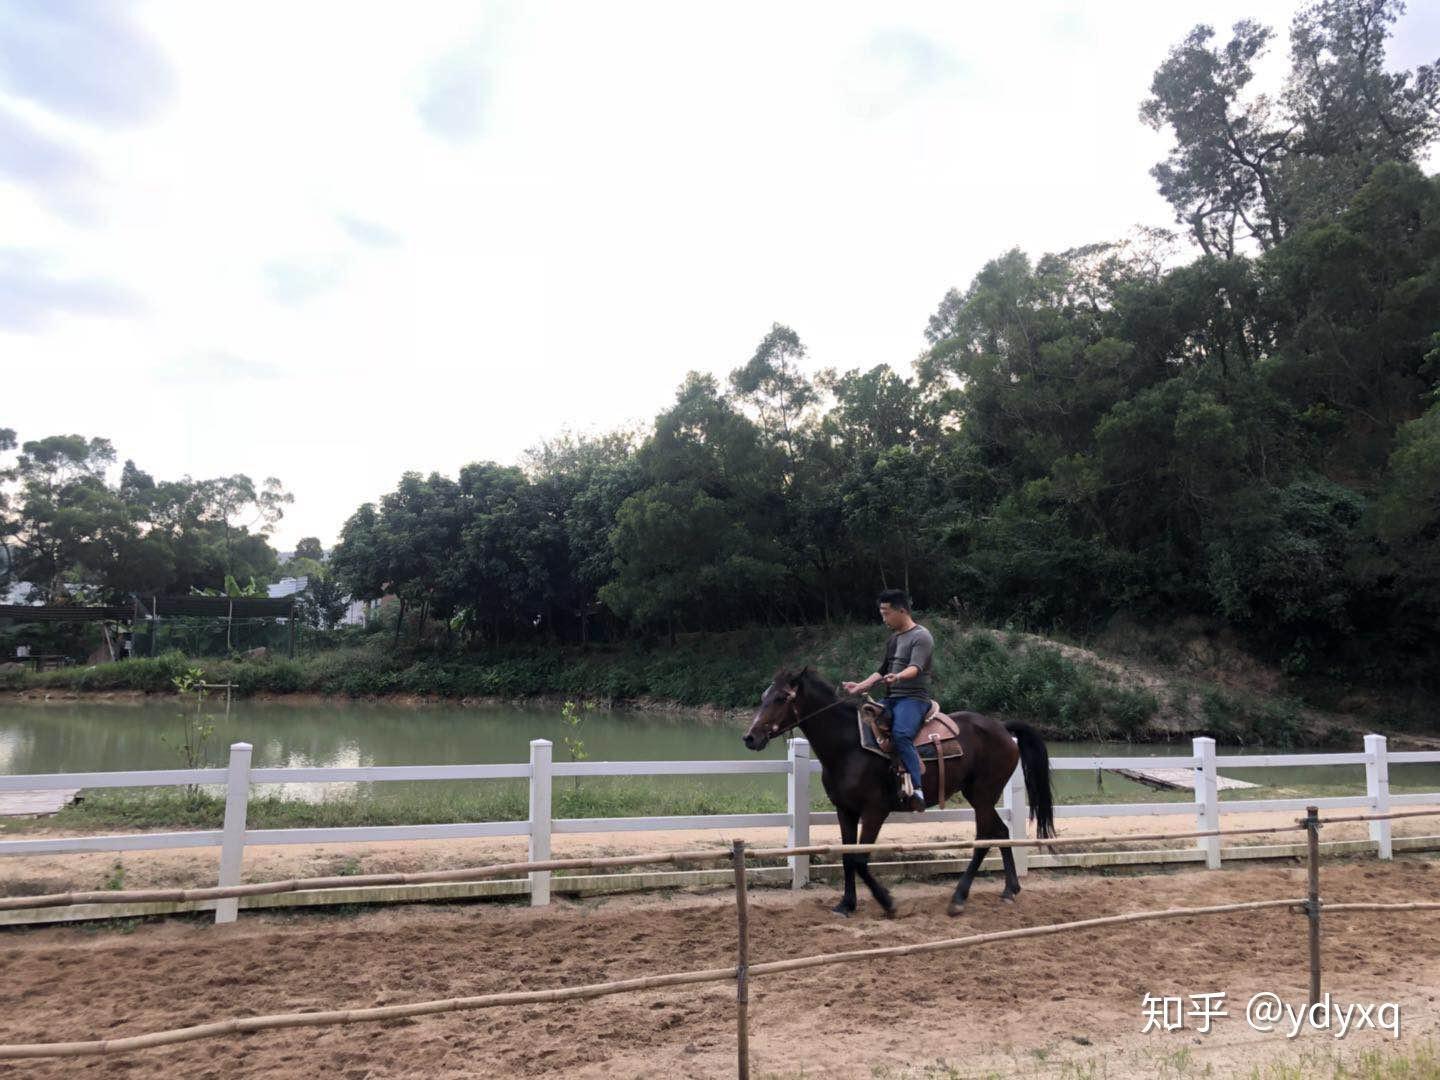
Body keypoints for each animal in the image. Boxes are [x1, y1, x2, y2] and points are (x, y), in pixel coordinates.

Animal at [742, 666, 1055, 917]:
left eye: (782, 698)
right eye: (764, 696)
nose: (750, 737)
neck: (849, 746)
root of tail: (1002, 727)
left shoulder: (874, 811)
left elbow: (860, 859)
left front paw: (887, 903)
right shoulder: (845, 810)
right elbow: (847, 857)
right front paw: (846, 904)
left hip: (982, 795)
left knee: (984, 839)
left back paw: (958, 898)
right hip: (981, 797)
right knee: (1001, 832)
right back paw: (1010, 889)